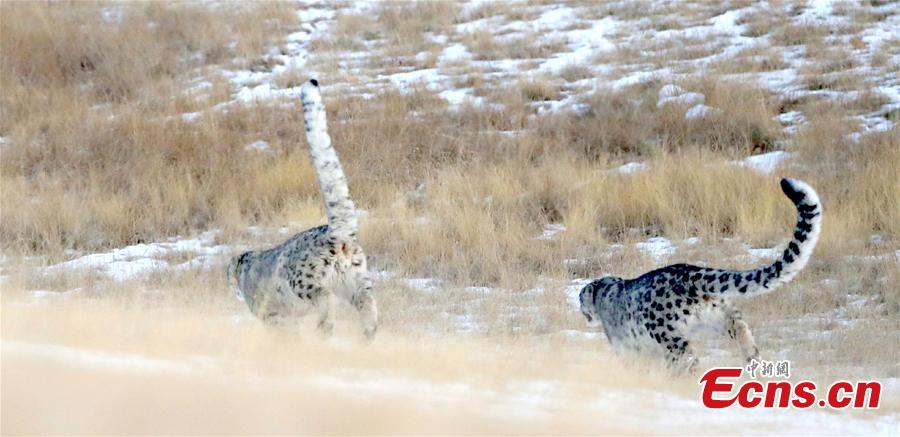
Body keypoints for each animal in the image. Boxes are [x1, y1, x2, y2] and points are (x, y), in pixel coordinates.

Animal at [230, 79, 378, 338]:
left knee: (325, 295)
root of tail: (338, 239)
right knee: (367, 301)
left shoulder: (270, 315)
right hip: (356, 279)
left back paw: (324, 328)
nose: (234, 290)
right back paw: (368, 333)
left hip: (303, 281)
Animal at [576, 178, 824, 372]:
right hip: (723, 315)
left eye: (580, 299)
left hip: (667, 333)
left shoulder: (625, 347)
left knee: (688, 359)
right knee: (742, 331)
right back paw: (754, 363)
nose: (582, 312)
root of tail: (693, 274)